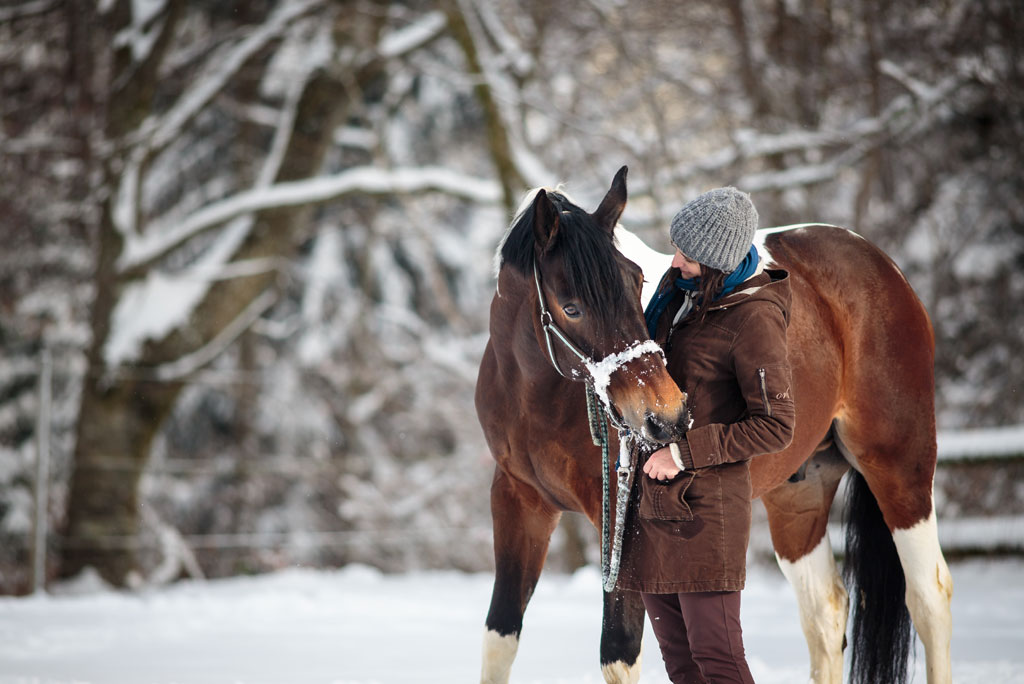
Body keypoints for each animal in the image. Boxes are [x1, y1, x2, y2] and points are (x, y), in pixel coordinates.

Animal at [475, 166, 954, 684]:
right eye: (571, 307)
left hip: (900, 467)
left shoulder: (620, 528)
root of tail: (879, 264)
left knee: (929, 598)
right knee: (825, 613)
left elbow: (619, 655)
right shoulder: (517, 503)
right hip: (799, 492)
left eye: (636, 281)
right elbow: (499, 639)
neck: (537, 398)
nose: (664, 416)